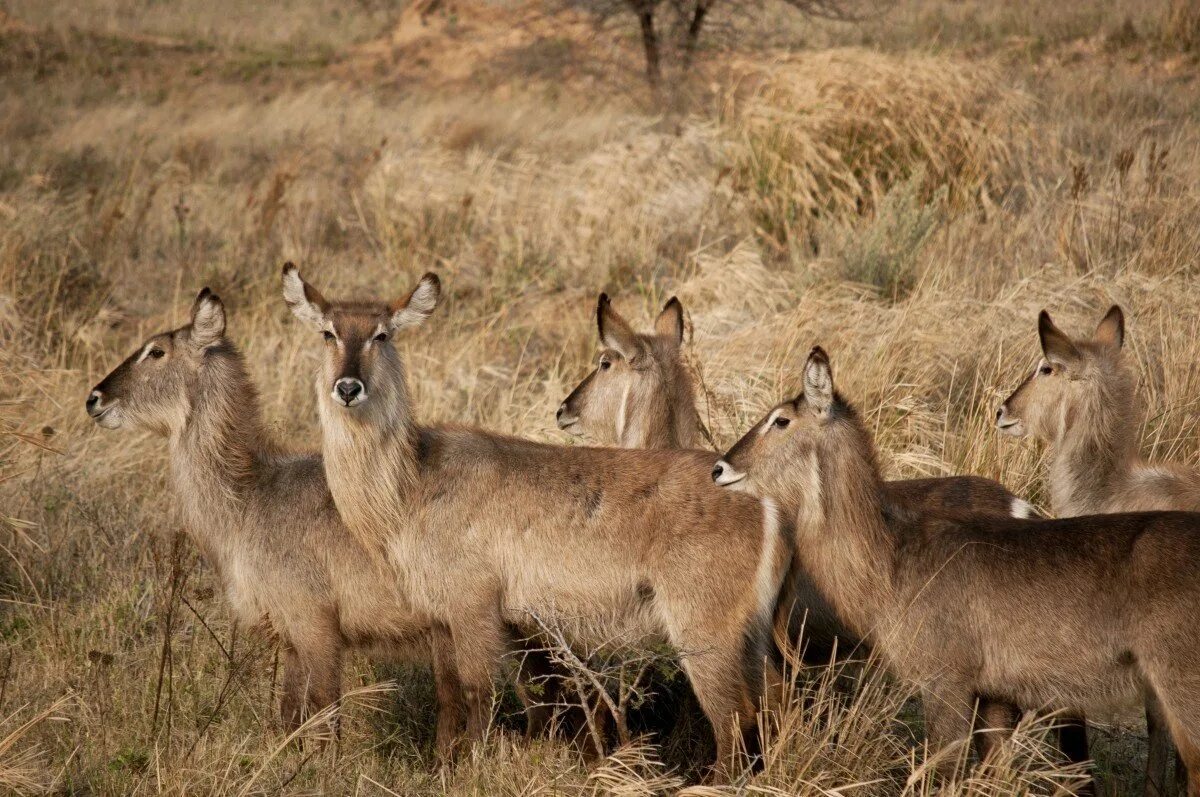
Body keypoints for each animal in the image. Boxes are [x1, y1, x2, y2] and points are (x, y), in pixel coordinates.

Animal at [277, 264, 792, 782]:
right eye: (327, 333)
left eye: (382, 334)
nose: (348, 388)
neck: (409, 487)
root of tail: (767, 503)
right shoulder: (441, 617)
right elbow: (449, 698)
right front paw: (443, 769)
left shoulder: (476, 608)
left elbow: (478, 697)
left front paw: (474, 773)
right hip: (753, 636)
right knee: (776, 703)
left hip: (704, 632)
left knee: (733, 721)